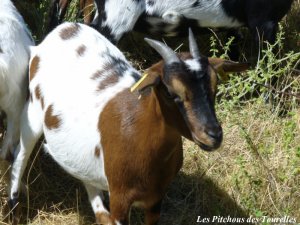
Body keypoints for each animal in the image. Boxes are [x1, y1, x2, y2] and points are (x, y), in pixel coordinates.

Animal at [9, 23, 248, 225]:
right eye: (170, 93)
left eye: (215, 86)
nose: (213, 135)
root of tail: (64, 28)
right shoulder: (120, 199)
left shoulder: (156, 199)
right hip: (32, 113)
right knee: (20, 155)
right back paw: (13, 209)